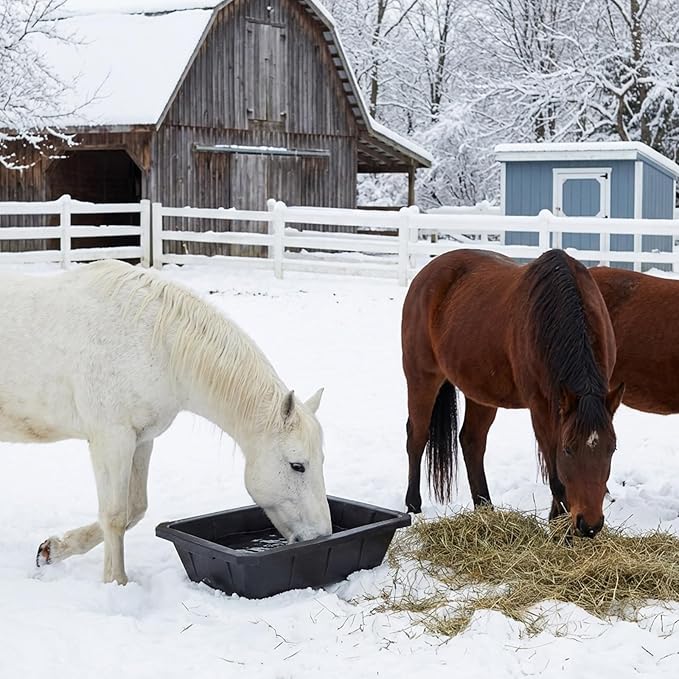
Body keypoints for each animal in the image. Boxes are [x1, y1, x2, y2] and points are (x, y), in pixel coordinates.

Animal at [0, 260, 331, 584]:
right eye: (297, 465)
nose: (321, 536)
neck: (155, 342)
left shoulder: (142, 440)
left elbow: (134, 509)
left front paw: (52, 550)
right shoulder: (112, 440)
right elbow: (114, 515)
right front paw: (116, 583)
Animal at [402, 249, 625, 537]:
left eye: (612, 449)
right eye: (568, 449)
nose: (589, 525)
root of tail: (426, 273)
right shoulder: (541, 409)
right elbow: (556, 476)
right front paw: (559, 530)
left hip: (481, 392)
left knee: (471, 441)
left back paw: (485, 508)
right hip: (422, 378)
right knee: (417, 436)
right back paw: (413, 506)